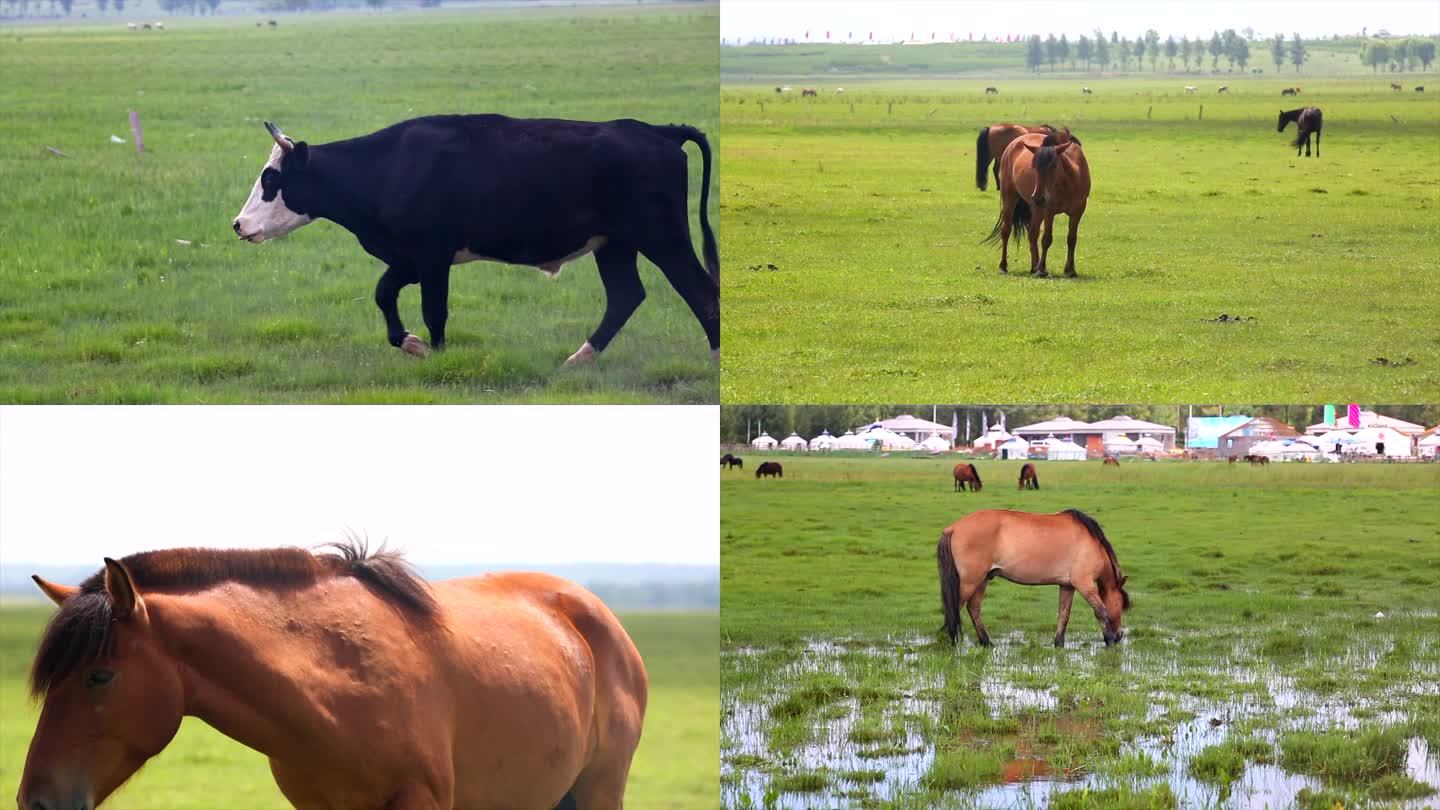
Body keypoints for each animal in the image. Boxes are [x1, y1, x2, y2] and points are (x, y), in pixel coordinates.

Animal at [234, 116, 720, 363]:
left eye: (272, 179)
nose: (239, 224)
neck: (389, 166)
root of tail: (656, 131)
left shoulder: (432, 256)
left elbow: (434, 309)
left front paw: (439, 356)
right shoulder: (410, 258)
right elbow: (383, 293)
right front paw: (409, 342)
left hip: (662, 237)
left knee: (701, 291)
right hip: (614, 244)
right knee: (626, 296)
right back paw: (579, 359)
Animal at [938, 507, 1128, 645]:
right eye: (1121, 604)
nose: (1120, 635)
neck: (1092, 542)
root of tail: (953, 528)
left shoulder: (1067, 586)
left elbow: (1064, 614)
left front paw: (1059, 643)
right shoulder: (1084, 584)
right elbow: (1101, 611)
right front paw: (1109, 640)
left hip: (982, 580)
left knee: (973, 608)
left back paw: (986, 642)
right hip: (970, 582)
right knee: (955, 609)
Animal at [984, 128, 1094, 273]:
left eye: (1053, 166)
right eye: (1034, 167)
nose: (1038, 197)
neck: (1071, 180)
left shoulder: (1078, 211)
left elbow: (1071, 239)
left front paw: (1070, 270)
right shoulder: (1049, 211)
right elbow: (1047, 239)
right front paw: (1042, 269)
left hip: (1037, 210)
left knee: (1033, 233)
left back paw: (1034, 266)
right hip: (1011, 200)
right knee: (1006, 231)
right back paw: (1004, 266)